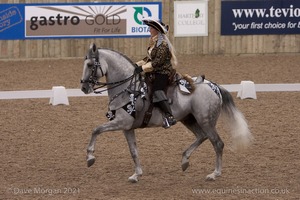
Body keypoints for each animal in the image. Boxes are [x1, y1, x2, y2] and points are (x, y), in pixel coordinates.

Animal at [80, 43, 253, 183]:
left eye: (90, 64)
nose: (83, 87)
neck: (128, 88)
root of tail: (213, 86)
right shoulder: (127, 128)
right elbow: (133, 151)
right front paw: (136, 175)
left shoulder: (122, 122)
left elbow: (96, 130)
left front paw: (90, 157)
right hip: (189, 119)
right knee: (202, 136)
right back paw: (185, 160)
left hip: (206, 121)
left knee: (217, 143)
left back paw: (215, 174)